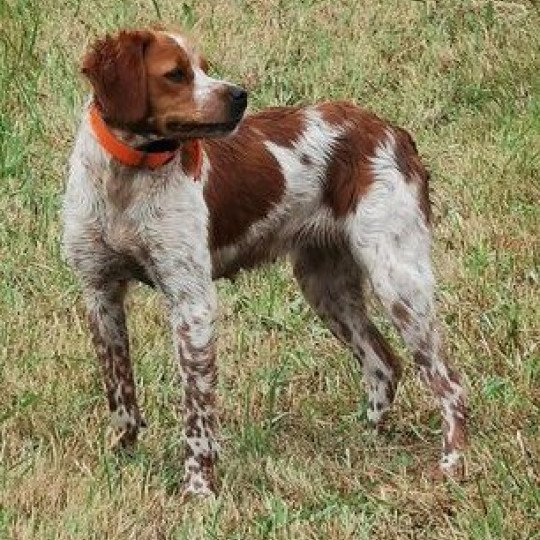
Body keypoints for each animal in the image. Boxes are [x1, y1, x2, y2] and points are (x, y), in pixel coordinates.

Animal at [63, 28, 466, 494]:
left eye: (204, 66)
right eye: (176, 74)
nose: (239, 95)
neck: (125, 179)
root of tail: (389, 130)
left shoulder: (191, 301)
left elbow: (197, 411)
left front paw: (199, 488)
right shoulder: (100, 293)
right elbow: (120, 393)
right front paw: (121, 458)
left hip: (397, 279)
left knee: (449, 383)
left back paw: (453, 462)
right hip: (325, 287)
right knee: (383, 364)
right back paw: (365, 440)